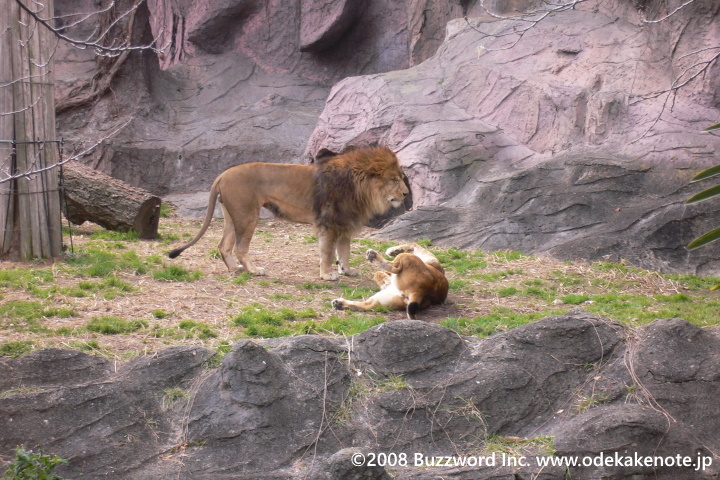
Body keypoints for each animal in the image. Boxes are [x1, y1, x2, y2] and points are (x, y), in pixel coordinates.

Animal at [165, 146, 408, 282]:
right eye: (394, 180)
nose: (406, 193)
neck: (360, 186)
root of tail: (222, 175)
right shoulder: (329, 223)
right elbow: (328, 253)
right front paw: (328, 275)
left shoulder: (344, 224)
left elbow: (344, 252)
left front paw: (347, 271)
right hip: (247, 215)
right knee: (240, 248)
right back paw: (254, 270)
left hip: (231, 216)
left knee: (224, 246)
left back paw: (235, 270)